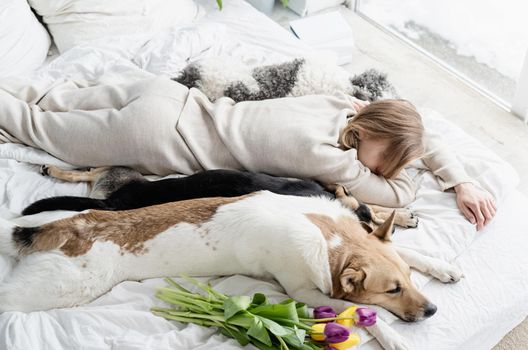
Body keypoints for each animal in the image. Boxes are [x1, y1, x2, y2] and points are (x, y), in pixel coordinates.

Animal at [0, 185, 462, 348]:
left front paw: (442, 267)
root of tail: (68, 225)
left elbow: (411, 253)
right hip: (56, 288)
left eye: (407, 281)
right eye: (392, 290)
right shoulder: (304, 292)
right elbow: (366, 314)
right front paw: (394, 336)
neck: (328, 236)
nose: (434, 311)